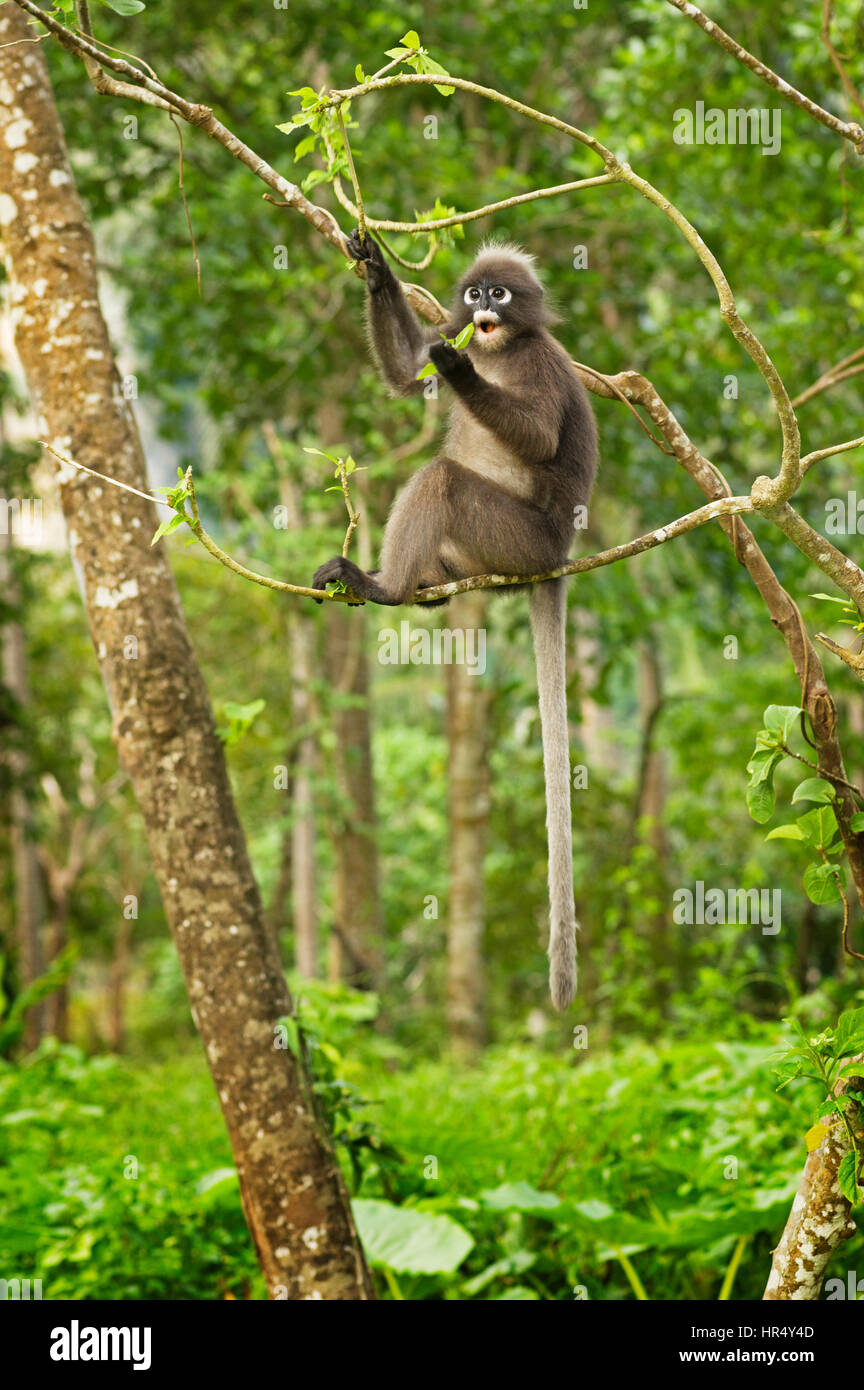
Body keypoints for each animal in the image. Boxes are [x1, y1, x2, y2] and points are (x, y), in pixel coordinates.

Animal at [315, 230, 600, 1011]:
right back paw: (425, 587)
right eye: (473, 294)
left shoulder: (537, 361)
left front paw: (459, 367)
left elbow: (536, 436)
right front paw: (374, 266)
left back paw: (381, 588)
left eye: (498, 294)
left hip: (513, 539)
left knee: (440, 478)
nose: (479, 310)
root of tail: (557, 554)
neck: (503, 348)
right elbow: (407, 374)